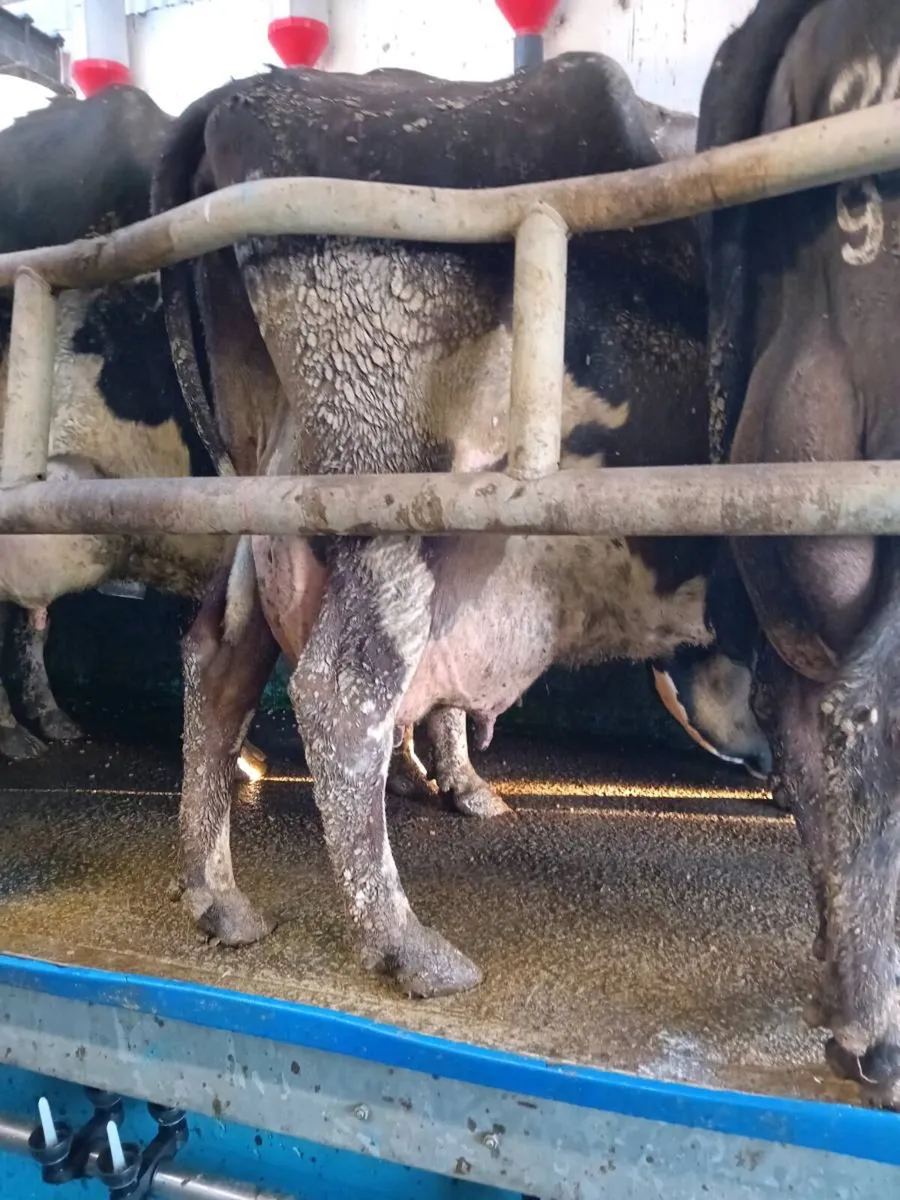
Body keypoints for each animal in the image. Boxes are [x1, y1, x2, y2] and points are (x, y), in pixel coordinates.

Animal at [150, 50, 772, 998]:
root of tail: (239, 96)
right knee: (340, 692)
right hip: (395, 502)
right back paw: (406, 946)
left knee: (219, 658)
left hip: (271, 497)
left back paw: (216, 898)